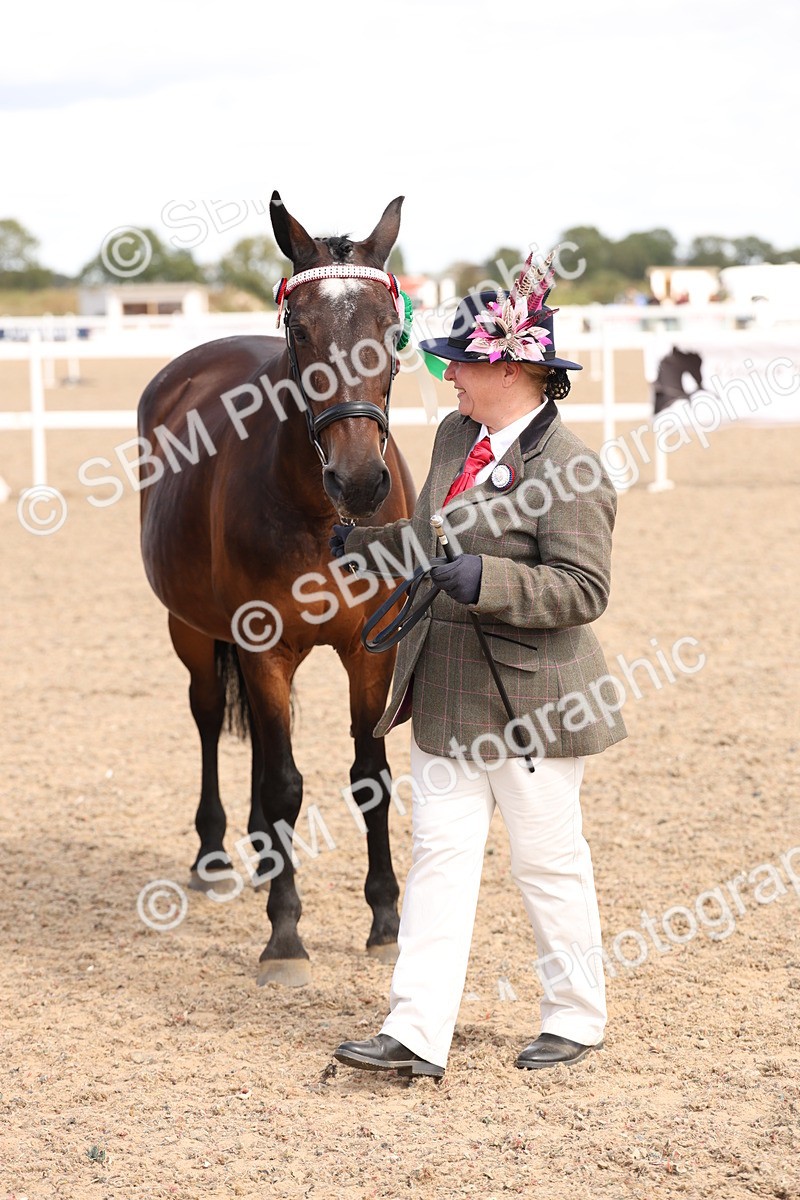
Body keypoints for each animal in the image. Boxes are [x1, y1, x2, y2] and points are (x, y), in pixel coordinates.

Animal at [137, 193, 417, 986]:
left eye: (392, 331)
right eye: (300, 328)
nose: (360, 479)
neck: (320, 514)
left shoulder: (371, 648)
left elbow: (369, 775)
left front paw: (386, 921)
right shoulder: (262, 646)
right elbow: (286, 783)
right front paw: (285, 935)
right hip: (194, 632)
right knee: (210, 719)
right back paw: (218, 854)